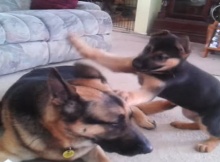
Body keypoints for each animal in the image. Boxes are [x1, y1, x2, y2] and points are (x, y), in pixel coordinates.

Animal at [69, 30, 220, 153]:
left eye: (161, 57)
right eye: (148, 48)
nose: (135, 64)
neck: (168, 70)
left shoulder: (150, 90)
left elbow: (133, 95)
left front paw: (121, 95)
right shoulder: (126, 65)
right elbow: (103, 57)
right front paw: (78, 44)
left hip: (208, 119)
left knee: (215, 134)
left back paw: (207, 145)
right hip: (189, 112)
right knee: (198, 124)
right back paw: (181, 124)